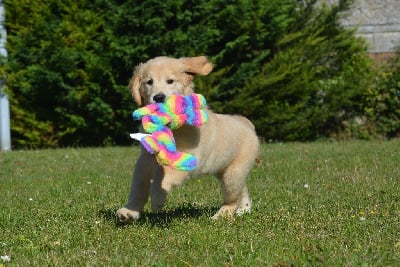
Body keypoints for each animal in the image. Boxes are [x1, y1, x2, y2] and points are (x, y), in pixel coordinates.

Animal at [116, 56, 260, 222]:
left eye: (170, 81)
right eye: (149, 82)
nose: (158, 97)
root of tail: (247, 124)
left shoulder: (188, 156)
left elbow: (164, 174)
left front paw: (157, 198)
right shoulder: (145, 159)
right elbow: (139, 185)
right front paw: (129, 210)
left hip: (234, 172)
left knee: (232, 198)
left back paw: (220, 215)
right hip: (225, 169)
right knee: (241, 190)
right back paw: (244, 209)